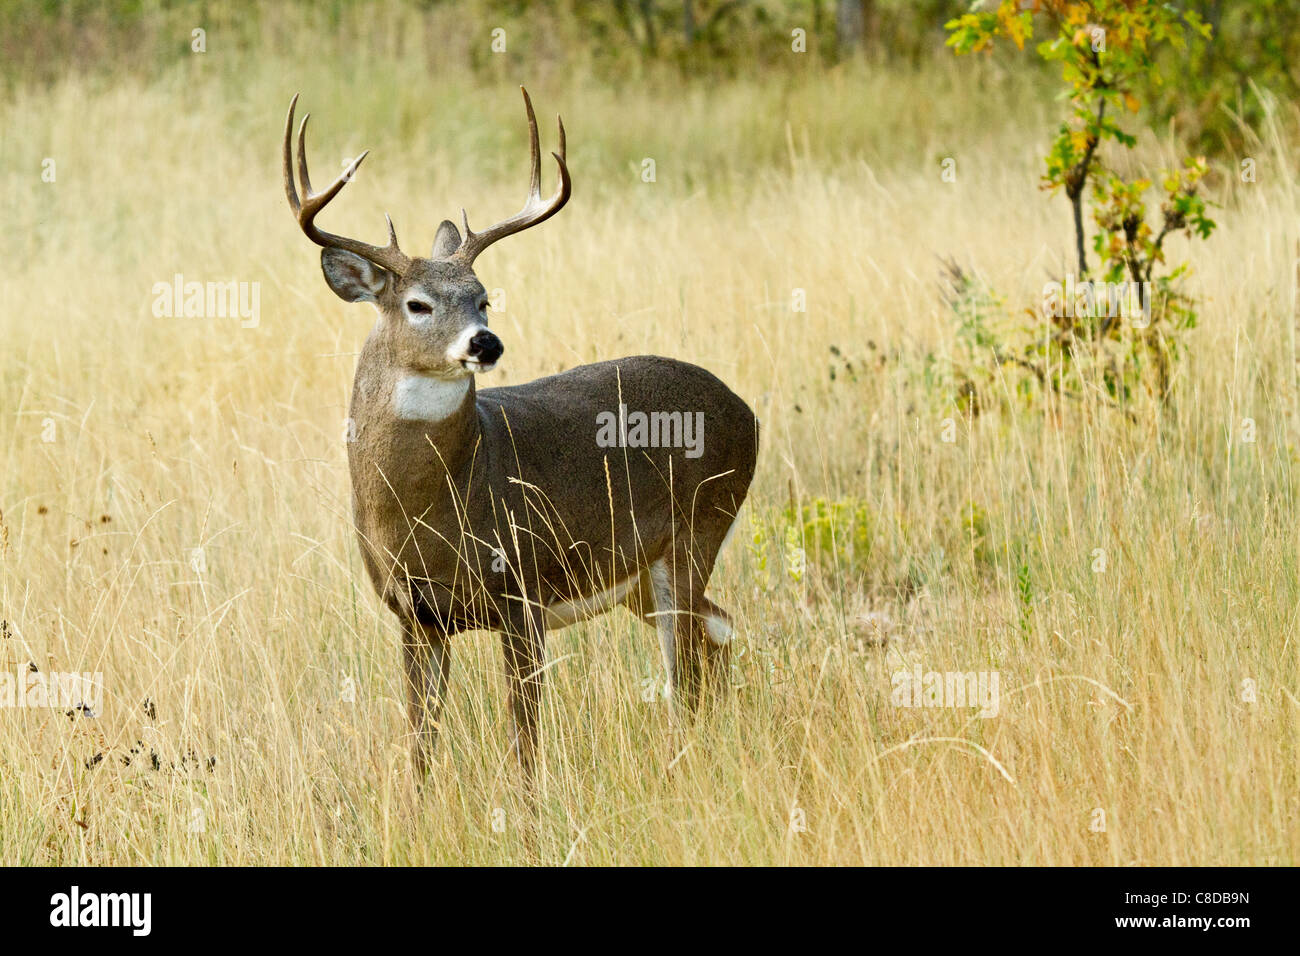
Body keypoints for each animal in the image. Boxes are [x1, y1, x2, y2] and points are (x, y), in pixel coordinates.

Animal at [279, 87, 759, 785]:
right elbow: (420, 744)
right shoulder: (413, 616)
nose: (485, 342)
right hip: (644, 576)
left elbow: (524, 740)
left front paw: (532, 806)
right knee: (718, 634)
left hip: (697, 529)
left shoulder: (524, 592)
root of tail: (747, 411)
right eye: (417, 304)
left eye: (483, 297)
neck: (437, 502)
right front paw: (420, 806)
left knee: (687, 667)